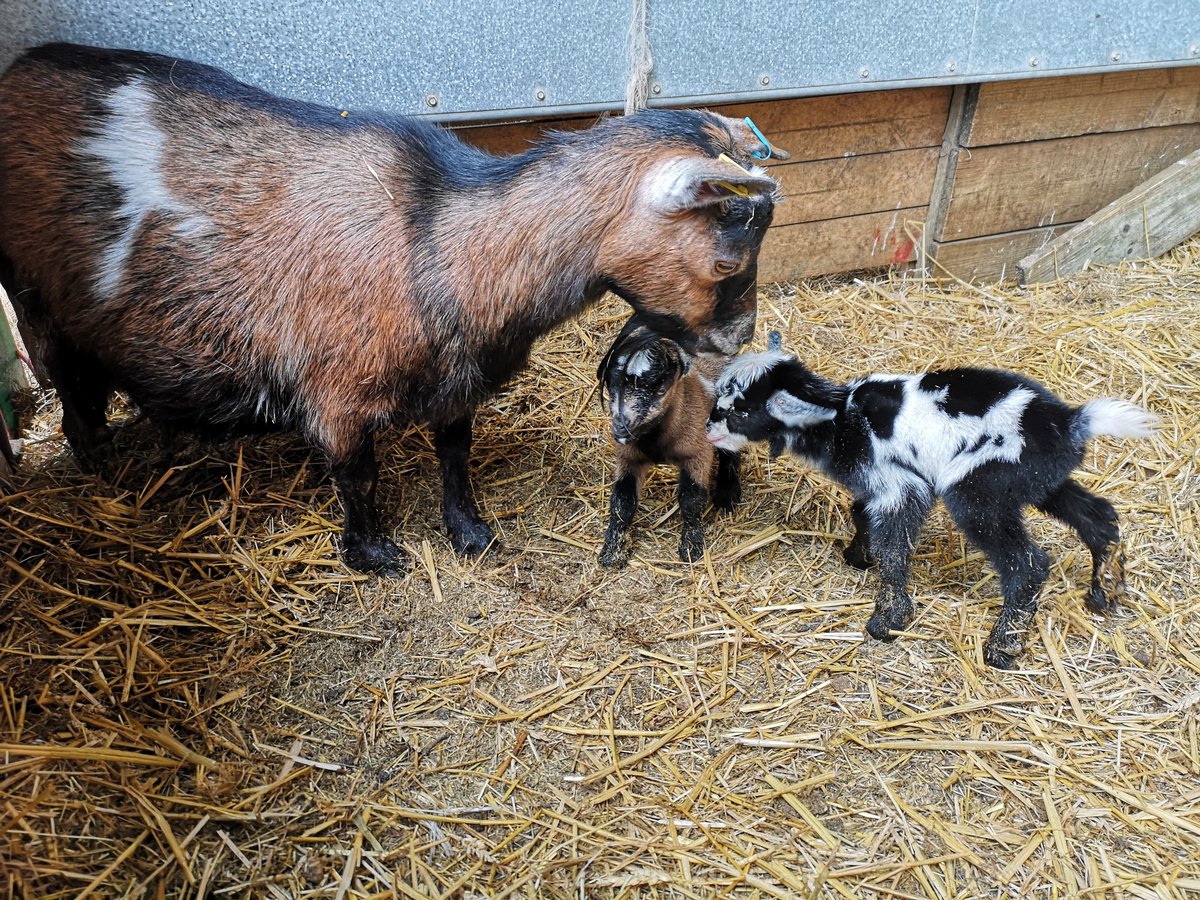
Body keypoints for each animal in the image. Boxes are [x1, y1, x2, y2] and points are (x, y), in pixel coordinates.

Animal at [597, 315, 745, 567]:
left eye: (660, 389)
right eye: (611, 385)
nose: (621, 429)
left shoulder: (697, 451)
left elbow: (692, 499)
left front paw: (691, 547)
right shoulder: (629, 457)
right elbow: (621, 501)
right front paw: (612, 551)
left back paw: (727, 493)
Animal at [706, 344, 1156, 668]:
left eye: (742, 410)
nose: (709, 430)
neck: (842, 421)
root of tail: (1070, 422)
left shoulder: (900, 486)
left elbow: (893, 547)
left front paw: (887, 620)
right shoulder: (880, 485)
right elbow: (861, 514)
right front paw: (858, 556)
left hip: (978, 488)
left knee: (1027, 562)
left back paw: (1002, 648)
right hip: (1038, 480)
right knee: (1098, 516)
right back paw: (1104, 592)